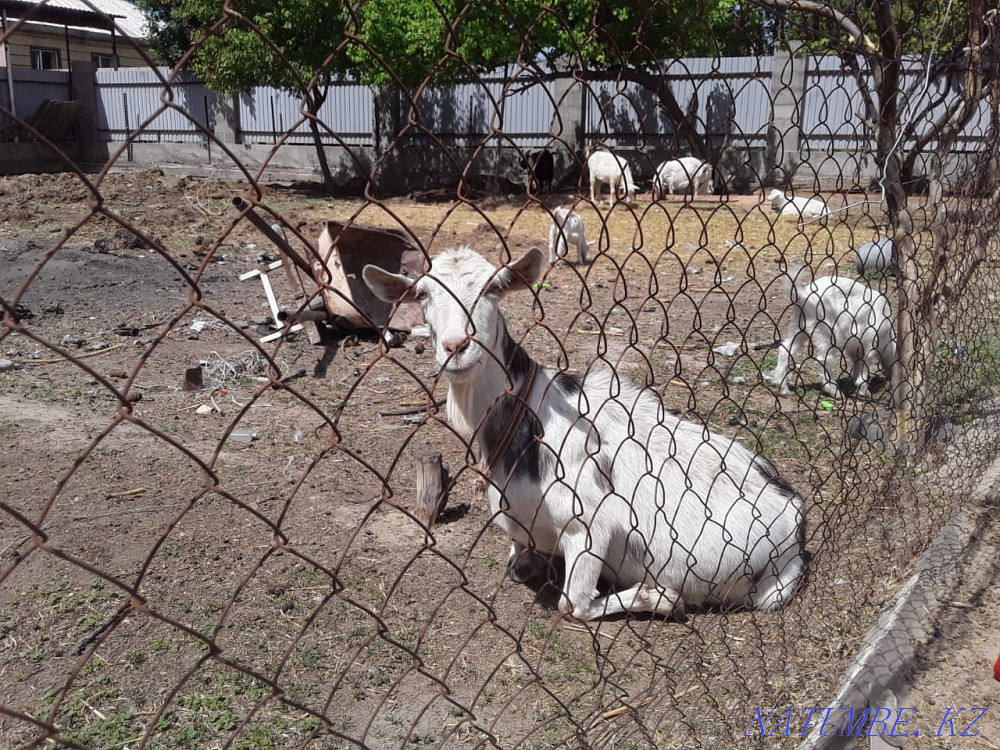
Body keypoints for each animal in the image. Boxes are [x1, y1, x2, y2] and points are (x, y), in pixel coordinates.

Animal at [363, 246, 806, 622]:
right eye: (423, 293)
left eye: (493, 288)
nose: (457, 347)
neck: (521, 422)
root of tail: (794, 518)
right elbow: (516, 565)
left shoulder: (590, 524)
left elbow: (572, 605)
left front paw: (658, 596)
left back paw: (662, 596)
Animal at [765, 275, 896, 398]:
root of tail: (803, 295)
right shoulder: (871, 341)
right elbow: (865, 363)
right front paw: (864, 391)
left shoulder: (855, 347)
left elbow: (858, 363)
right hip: (828, 332)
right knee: (824, 359)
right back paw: (834, 391)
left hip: (798, 327)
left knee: (785, 350)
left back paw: (782, 388)